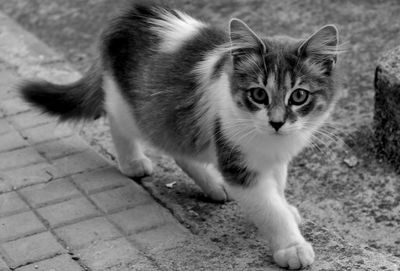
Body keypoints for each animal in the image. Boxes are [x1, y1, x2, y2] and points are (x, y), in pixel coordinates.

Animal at [19, 2, 344, 270]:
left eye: (299, 96)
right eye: (259, 94)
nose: (276, 122)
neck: (270, 141)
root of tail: (129, 14)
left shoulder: (274, 158)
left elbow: (277, 190)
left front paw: (286, 210)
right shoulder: (237, 162)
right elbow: (269, 207)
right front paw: (291, 246)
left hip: (178, 120)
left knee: (180, 150)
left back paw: (212, 184)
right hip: (136, 109)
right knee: (119, 121)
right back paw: (133, 162)